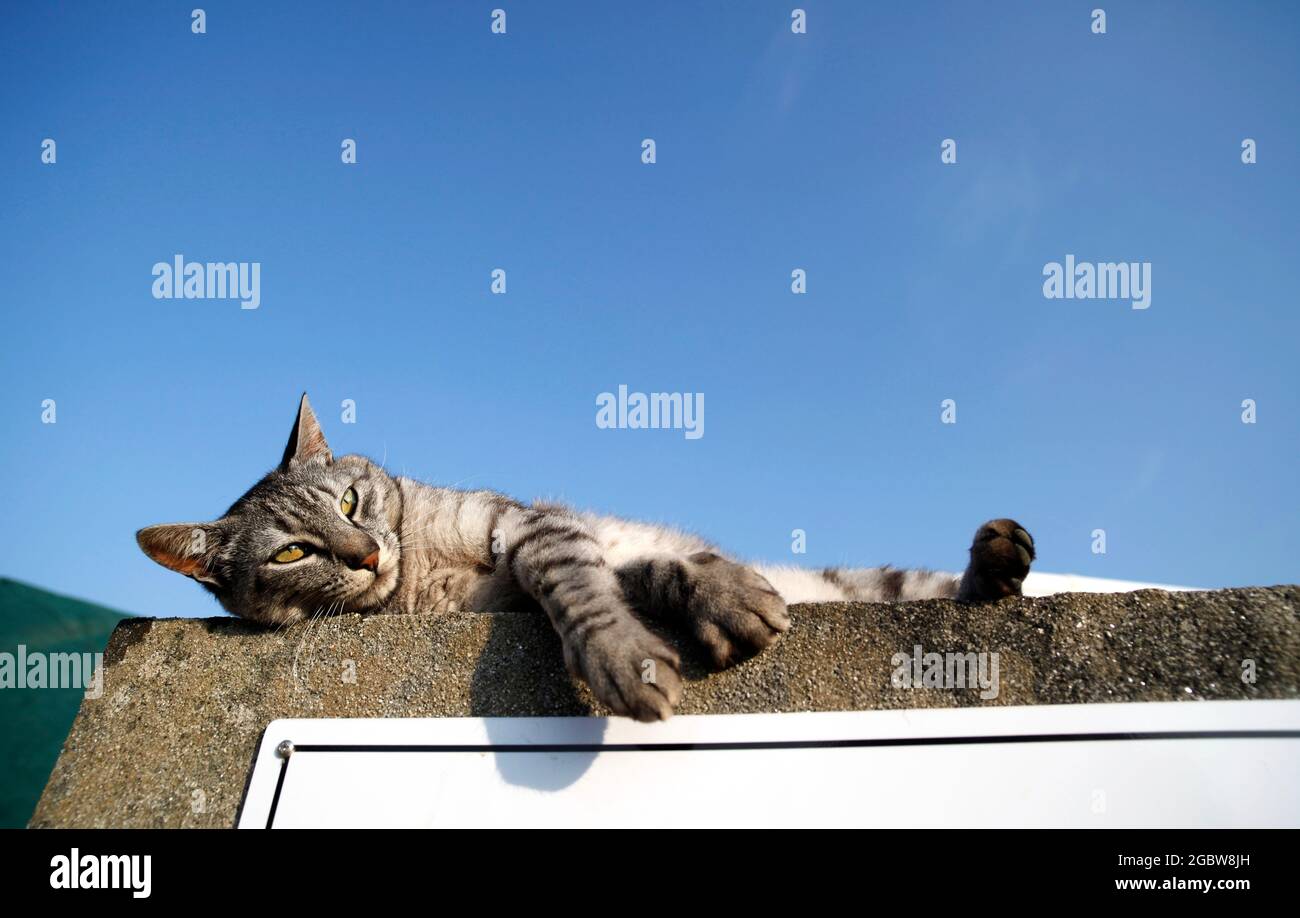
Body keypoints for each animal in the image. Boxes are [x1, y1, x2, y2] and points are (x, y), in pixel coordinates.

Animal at [139, 392, 1034, 722]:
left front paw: (645, 642)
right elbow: (625, 582)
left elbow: (592, 580)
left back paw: (998, 562)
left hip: (885, 583)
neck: (424, 569)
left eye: (352, 502)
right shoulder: (541, 565)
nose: (363, 554)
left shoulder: (536, 528)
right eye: (295, 550)